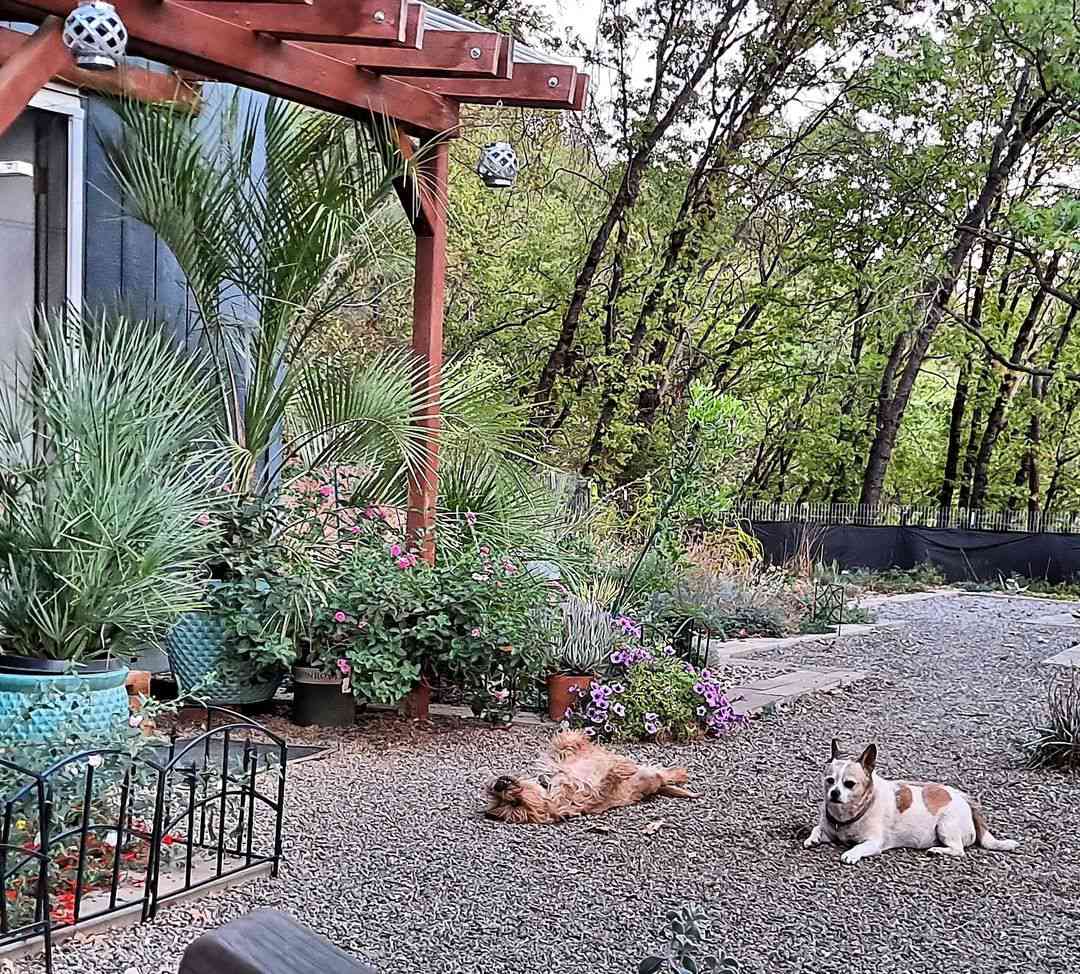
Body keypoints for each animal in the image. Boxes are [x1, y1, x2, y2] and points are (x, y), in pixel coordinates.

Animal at [803, 738, 1019, 868]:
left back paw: (938, 851)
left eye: (849, 784)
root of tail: (966, 800)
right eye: (829, 780)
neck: (847, 815)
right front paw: (812, 838)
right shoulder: (830, 832)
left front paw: (851, 853)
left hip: (946, 826)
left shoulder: (873, 843)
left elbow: (859, 847)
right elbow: (816, 829)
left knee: (958, 850)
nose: (834, 793)